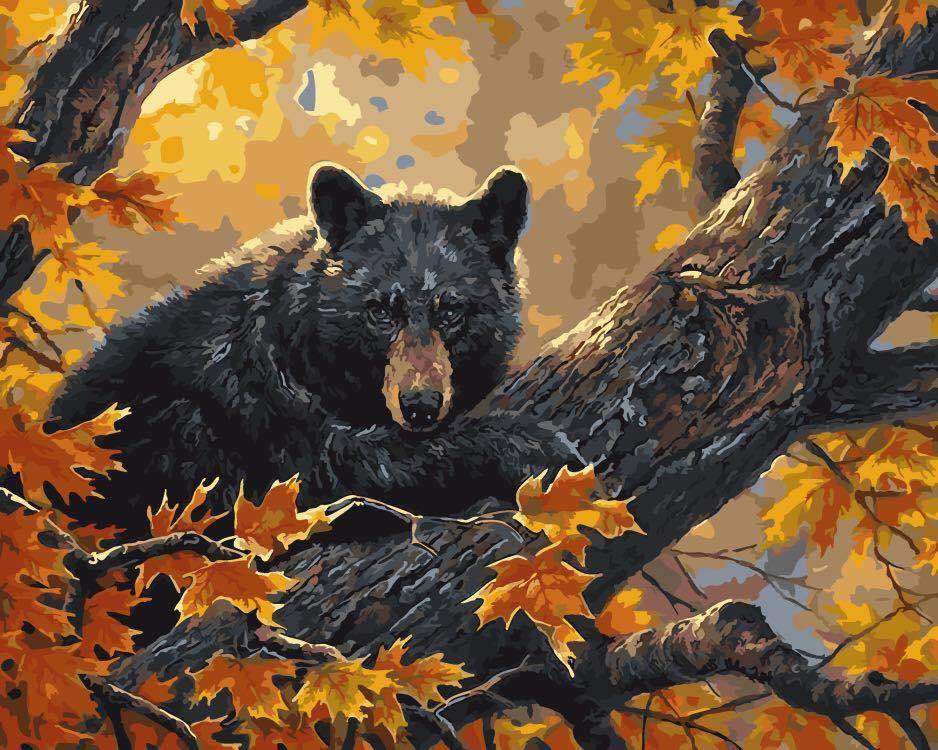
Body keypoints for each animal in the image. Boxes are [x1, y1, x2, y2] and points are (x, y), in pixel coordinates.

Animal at [49, 163, 548, 536]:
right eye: (380, 311)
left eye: (451, 311)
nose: (420, 406)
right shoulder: (263, 409)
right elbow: (347, 468)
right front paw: (526, 443)